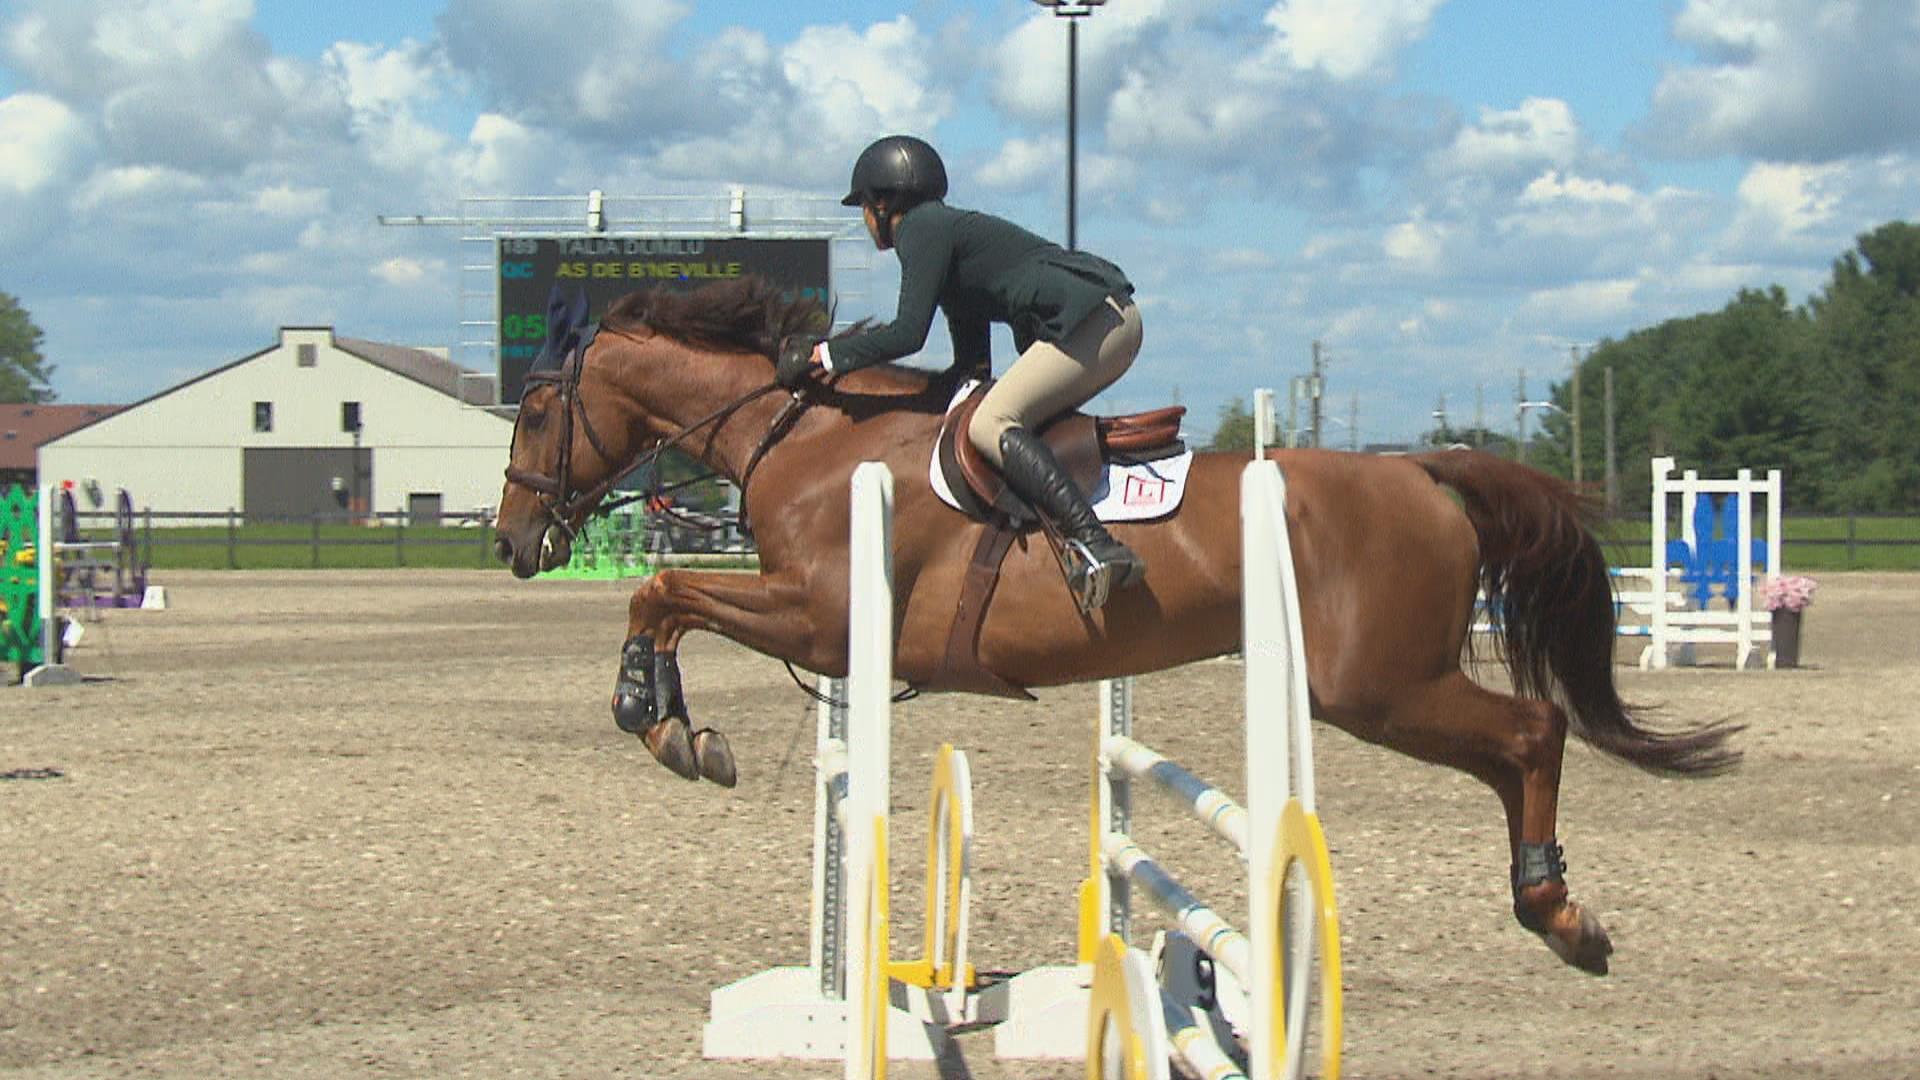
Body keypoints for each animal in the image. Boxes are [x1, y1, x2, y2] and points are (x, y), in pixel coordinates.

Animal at [495, 272, 1743, 972]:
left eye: (541, 407)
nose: (511, 543)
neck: (810, 438)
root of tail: (1422, 469)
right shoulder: (814, 623)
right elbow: (667, 601)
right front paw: (677, 725)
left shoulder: (820, 618)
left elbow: (662, 595)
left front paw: (662, 724)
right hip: (1381, 686)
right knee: (1515, 750)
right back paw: (1554, 910)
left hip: (1374, 686)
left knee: (1533, 734)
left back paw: (1560, 913)